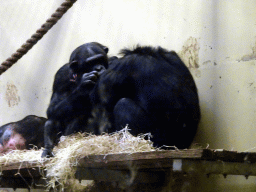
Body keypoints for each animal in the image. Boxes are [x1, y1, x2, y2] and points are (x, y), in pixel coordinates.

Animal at [42, 42, 201, 158]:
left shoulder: (118, 68)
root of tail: (181, 146)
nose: (99, 67)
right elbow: (52, 110)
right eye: (89, 62)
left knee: (122, 105)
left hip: (160, 141)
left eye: (100, 59)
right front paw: (84, 84)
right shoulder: (61, 74)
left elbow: (101, 97)